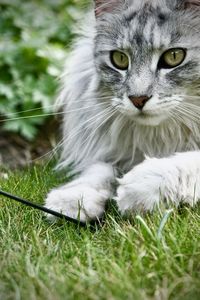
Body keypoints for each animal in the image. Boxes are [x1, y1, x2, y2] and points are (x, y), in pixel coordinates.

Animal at [45, 0, 200, 220]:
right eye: (119, 59)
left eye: (174, 56)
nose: (138, 99)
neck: (159, 137)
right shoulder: (113, 150)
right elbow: (99, 170)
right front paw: (73, 199)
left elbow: (186, 162)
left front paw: (139, 188)